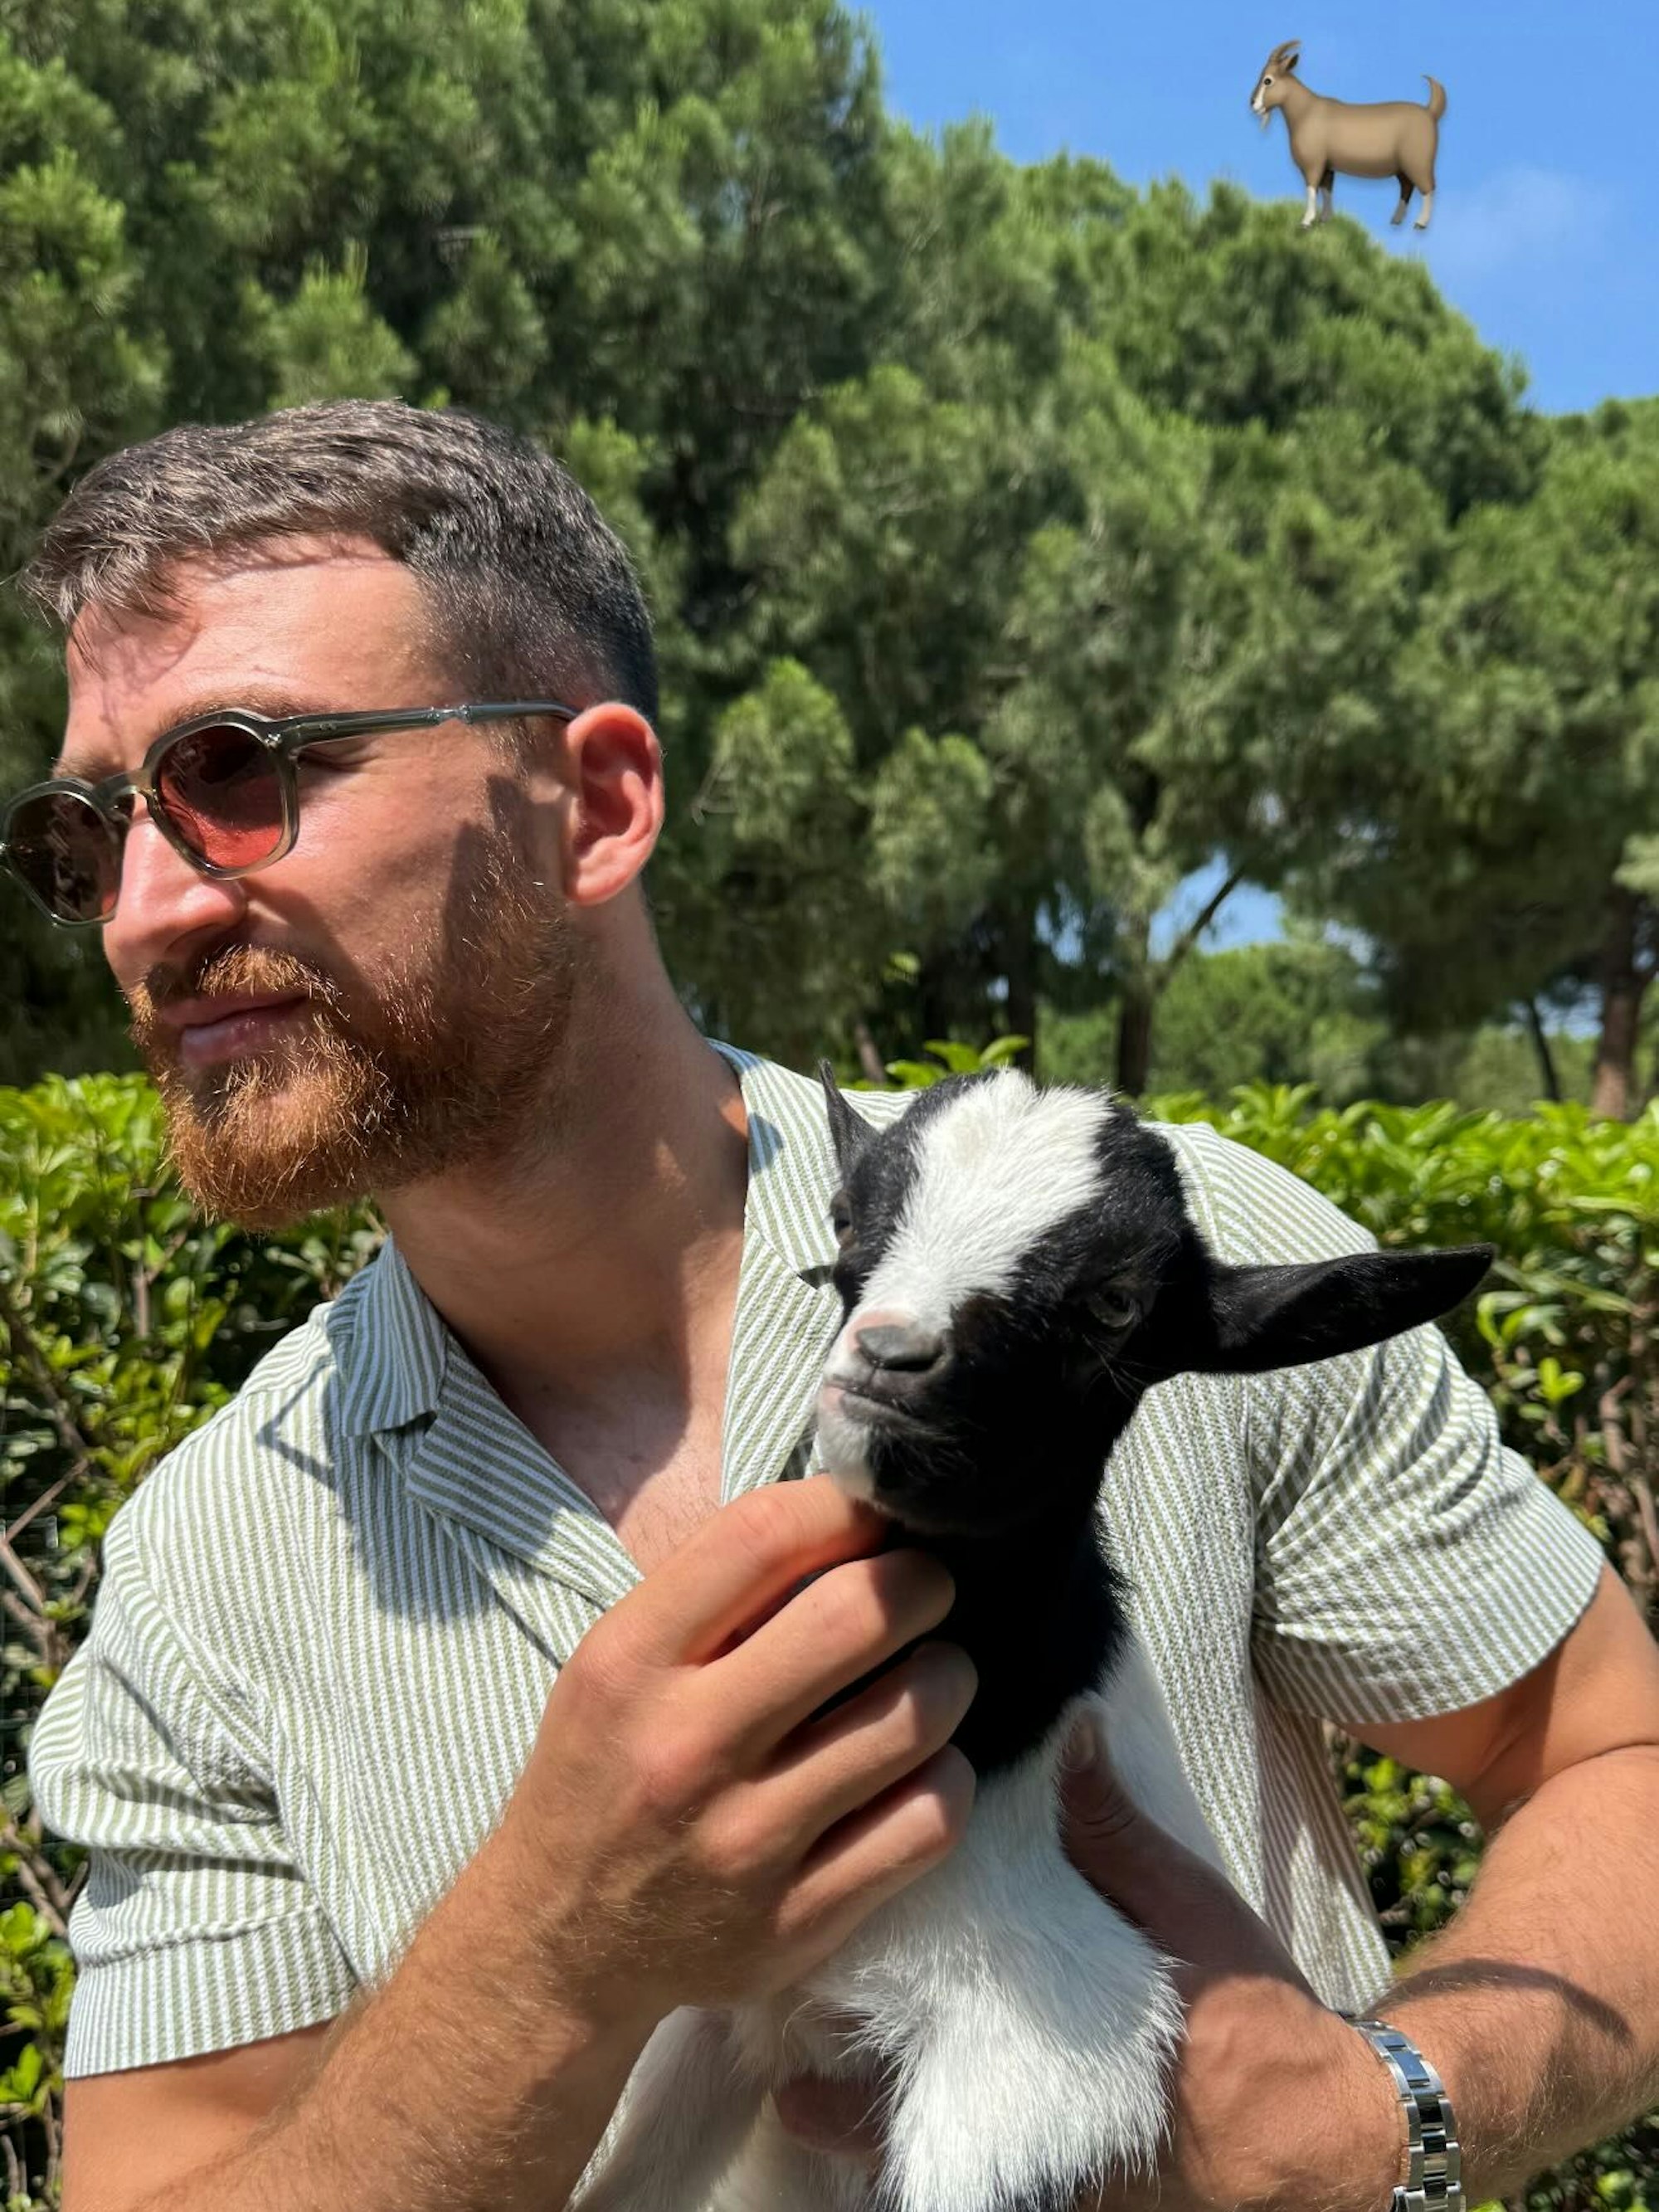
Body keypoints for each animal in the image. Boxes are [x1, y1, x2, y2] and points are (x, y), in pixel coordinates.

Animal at [1251, 39, 1445, 232]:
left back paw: (1420, 223)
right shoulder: (1328, 166)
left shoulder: (1313, 163)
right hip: (1403, 167)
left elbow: (1312, 189)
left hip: (1418, 162)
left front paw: (1306, 221)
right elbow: (1327, 190)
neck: (1306, 111)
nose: (1252, 104)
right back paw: (1396, 219)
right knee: (1407, 187)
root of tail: (1430, 112)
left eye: (1268, 80)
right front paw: (1324, 219)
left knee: (1429, 188)